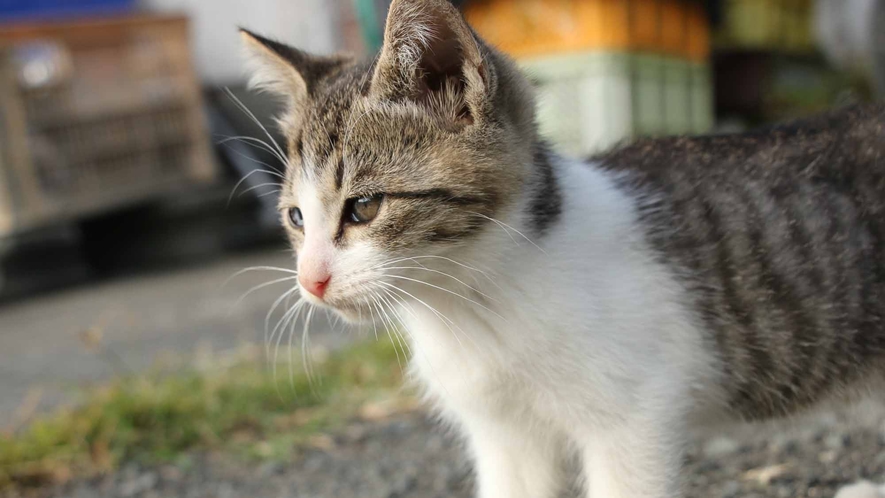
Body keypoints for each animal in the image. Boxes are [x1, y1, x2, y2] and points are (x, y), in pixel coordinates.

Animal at [240, 1, 884, 496]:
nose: (310, 281)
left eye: (364, 207)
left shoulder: (632, 419)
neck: (472, 306)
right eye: (295, 218)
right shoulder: (503, 434)